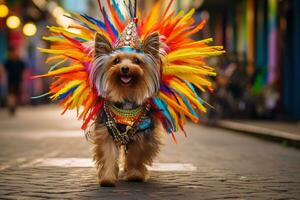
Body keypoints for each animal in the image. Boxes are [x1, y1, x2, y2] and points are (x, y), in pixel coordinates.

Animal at [88, 30, 164, 188]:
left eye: (137, 61)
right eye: (116, 61)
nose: (125, 68)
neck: (127, 94)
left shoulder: (142, 134)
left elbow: (136, 155)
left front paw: (135, 175)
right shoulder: (106, 132)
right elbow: (108, 154)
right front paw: (107, 179)